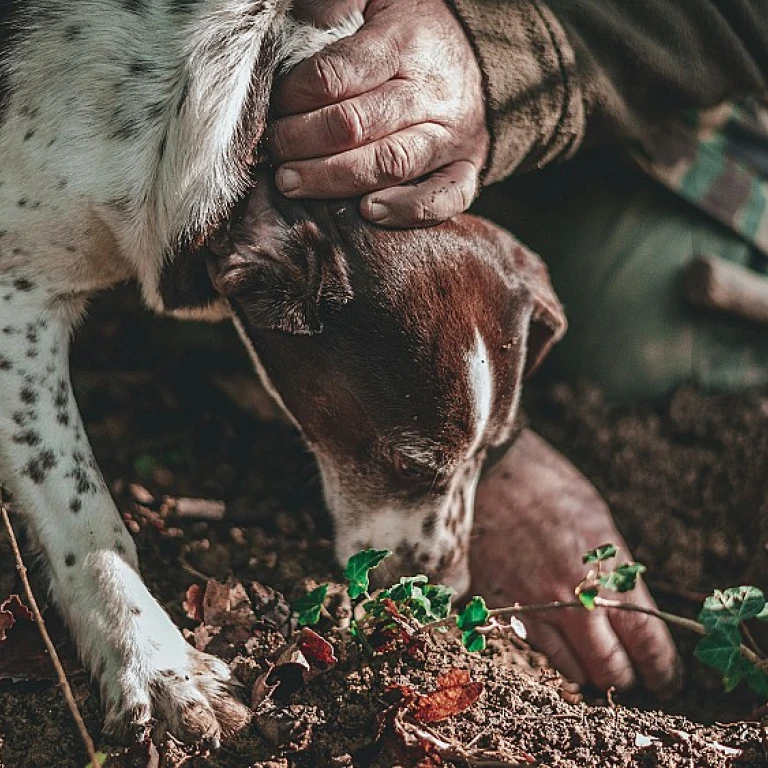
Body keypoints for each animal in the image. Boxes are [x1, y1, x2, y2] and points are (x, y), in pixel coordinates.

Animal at [0, 0, 564, 748]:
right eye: (411, 464)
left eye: (497, 454)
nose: (445, 593)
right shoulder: (17, 302)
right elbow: (82, 512)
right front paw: (155, 662)